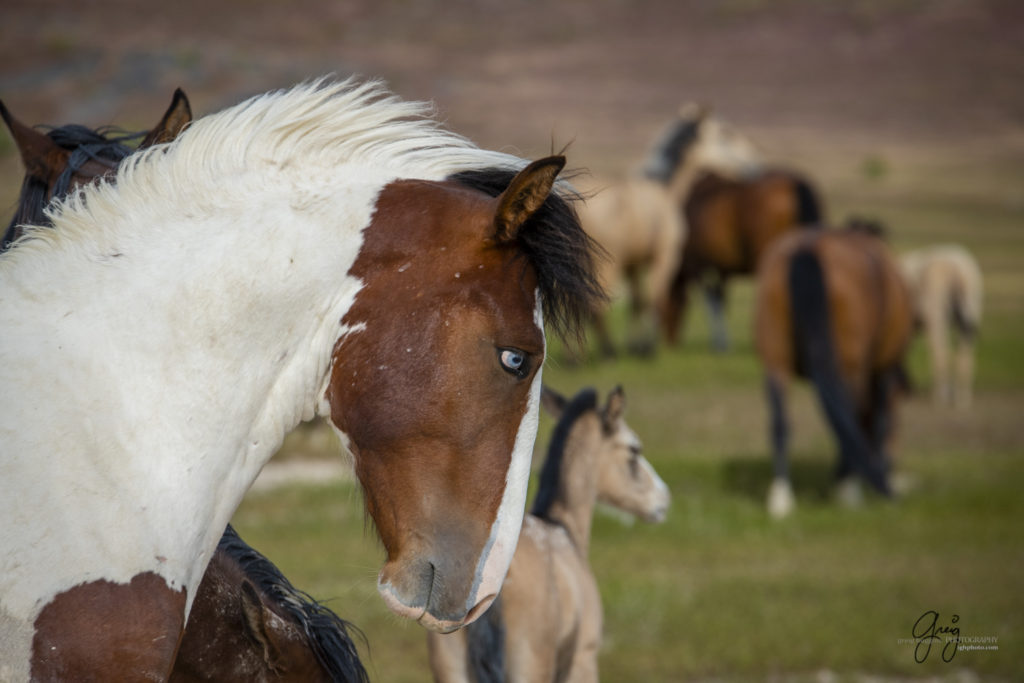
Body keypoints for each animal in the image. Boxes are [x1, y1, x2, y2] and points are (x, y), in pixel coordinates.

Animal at [663, 167, 823, 352]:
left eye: (662, 306)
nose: (671, 341)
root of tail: (795, 185)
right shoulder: (721, 270)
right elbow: (721, 300)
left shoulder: (700, 267)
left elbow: (713, 302)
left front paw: (720, 344)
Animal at [753, 224, 913, 518]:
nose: (891, 462)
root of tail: (806, 250)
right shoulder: (881, 369)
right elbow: (875, 419)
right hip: (850, 367)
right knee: (849, 415)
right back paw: (847, 488)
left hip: (775, 362)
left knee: (780, 422)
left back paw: (781, 496)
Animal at [905, 244, 983, 409]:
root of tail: (959, 271)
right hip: (970, 312)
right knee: (965, 355)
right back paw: (962, 398)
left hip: (936, 316)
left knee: (941, 352)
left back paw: (940, 397)